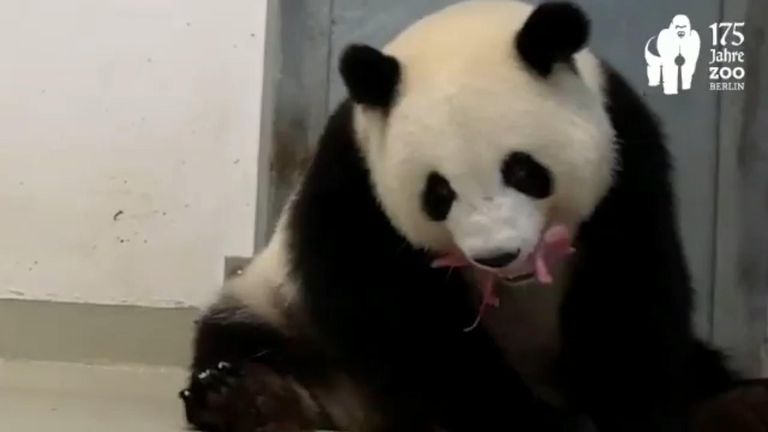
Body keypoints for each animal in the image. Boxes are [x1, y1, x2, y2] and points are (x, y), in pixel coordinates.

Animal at [178, 1, 736, 430]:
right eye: (438, 192)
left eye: (524, 170)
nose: (499, 255)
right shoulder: (356, 184)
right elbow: (405, 320)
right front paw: (529, 422)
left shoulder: (627, 156)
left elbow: (630, 292)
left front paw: (632, 413)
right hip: (279, 308)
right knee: (239, 337)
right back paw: (254, 401)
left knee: (710, 372)